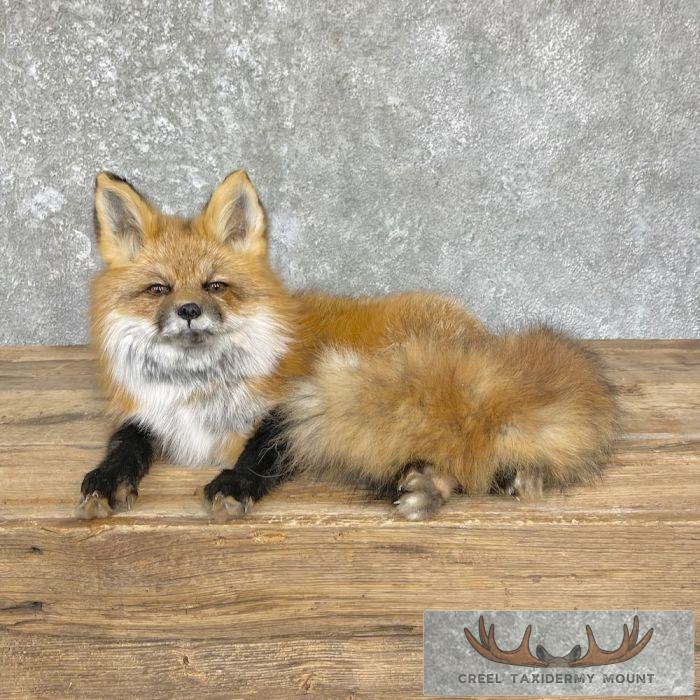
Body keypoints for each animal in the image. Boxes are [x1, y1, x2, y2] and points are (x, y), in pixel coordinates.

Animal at [77, 169, 617, 521]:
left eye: (215, 286)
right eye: (159, 289)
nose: (189, 311)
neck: (198, 392)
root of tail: (486, 338)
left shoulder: (289, 405)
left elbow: (260, 452)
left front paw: (235, 483)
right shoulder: (149, 415)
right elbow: (124, 444)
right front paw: (105, 479)